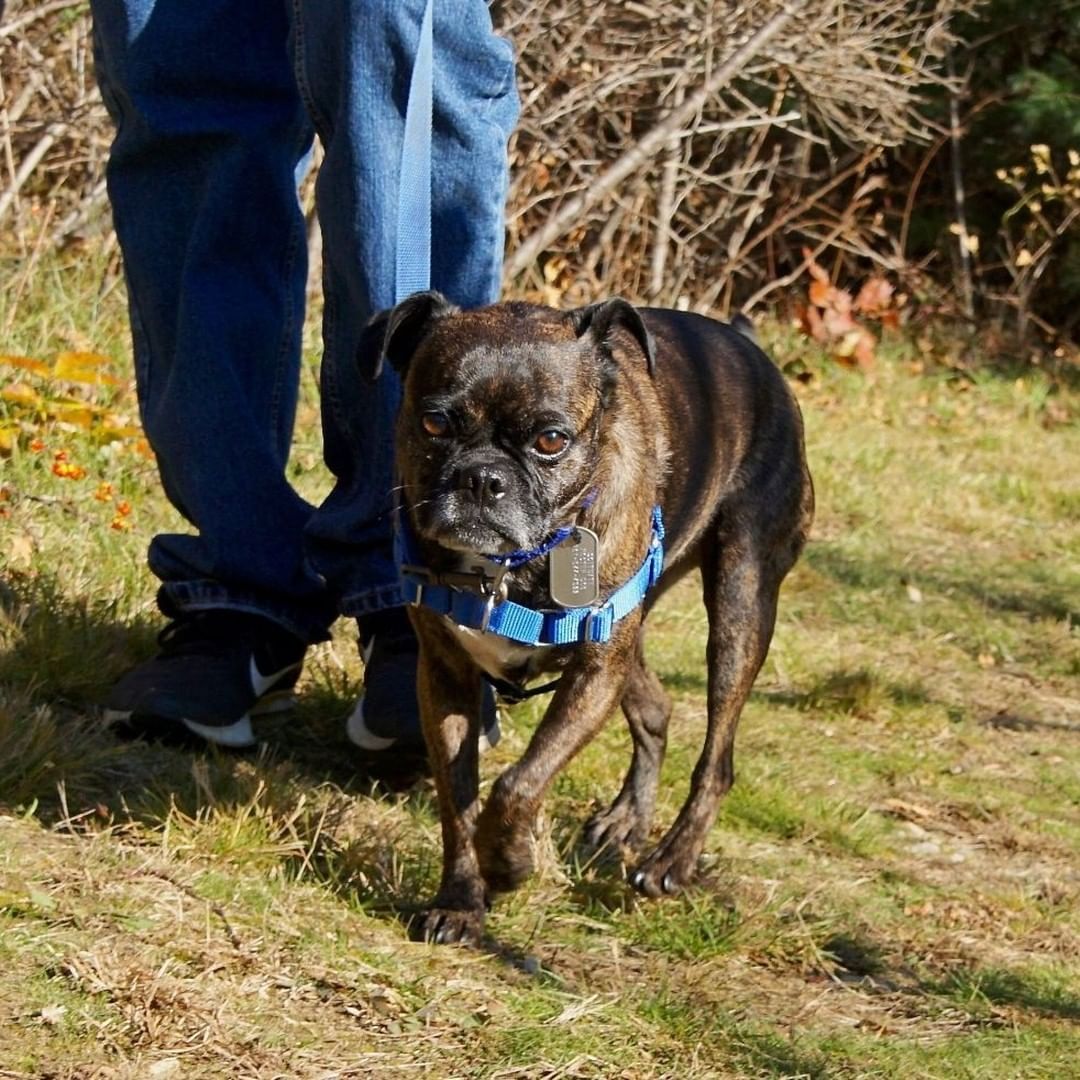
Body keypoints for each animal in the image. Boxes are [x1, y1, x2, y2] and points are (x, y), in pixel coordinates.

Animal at [367, 291, 812, 941]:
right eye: (435, 424)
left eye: (552, 440)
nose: (482, 478)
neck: (509, 568)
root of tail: (752, 351)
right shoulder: (445, 676)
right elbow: (459, 797)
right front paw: (460, 900)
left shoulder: (594, 675)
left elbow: (517, 784)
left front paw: (508, 861)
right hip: (637, 628)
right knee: (655, 708)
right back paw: (626, 819)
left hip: (740, 604)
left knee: (718, 758)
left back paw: (671, 860)